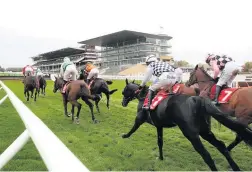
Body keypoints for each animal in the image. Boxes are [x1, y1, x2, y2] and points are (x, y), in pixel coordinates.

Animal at [120, 79, 252, 171]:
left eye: (124, 91)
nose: (123, 103)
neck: (144, 96)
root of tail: (197, 100)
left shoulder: (140, 119)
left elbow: (133, 128)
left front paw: (125, 135)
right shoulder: (159, 126)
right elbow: (160, 142)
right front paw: (161, 157)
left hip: (191, 134)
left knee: (206, 155)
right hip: (205, 131)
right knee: (221, 146)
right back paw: (235, 167)